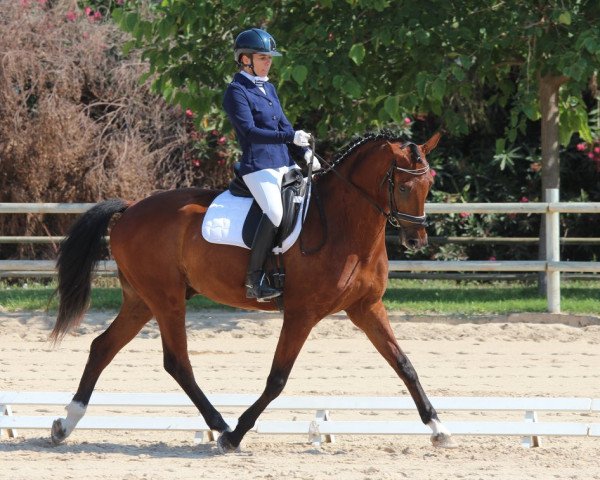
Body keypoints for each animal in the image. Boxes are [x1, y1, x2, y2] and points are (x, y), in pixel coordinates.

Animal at [50, 130, 454, 450]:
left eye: (429, 186)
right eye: (404, 186)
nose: (417, 240)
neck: (346, 225)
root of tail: (131, 207)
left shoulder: (366, 307)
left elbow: (404, 365)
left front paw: (438, 428)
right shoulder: (302, 313)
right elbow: (277, 378)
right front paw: (237, 435)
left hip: (142, 300)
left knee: (103, 347)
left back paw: (65, 423)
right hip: (165, 299)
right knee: (176, 362)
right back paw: (220, 426)